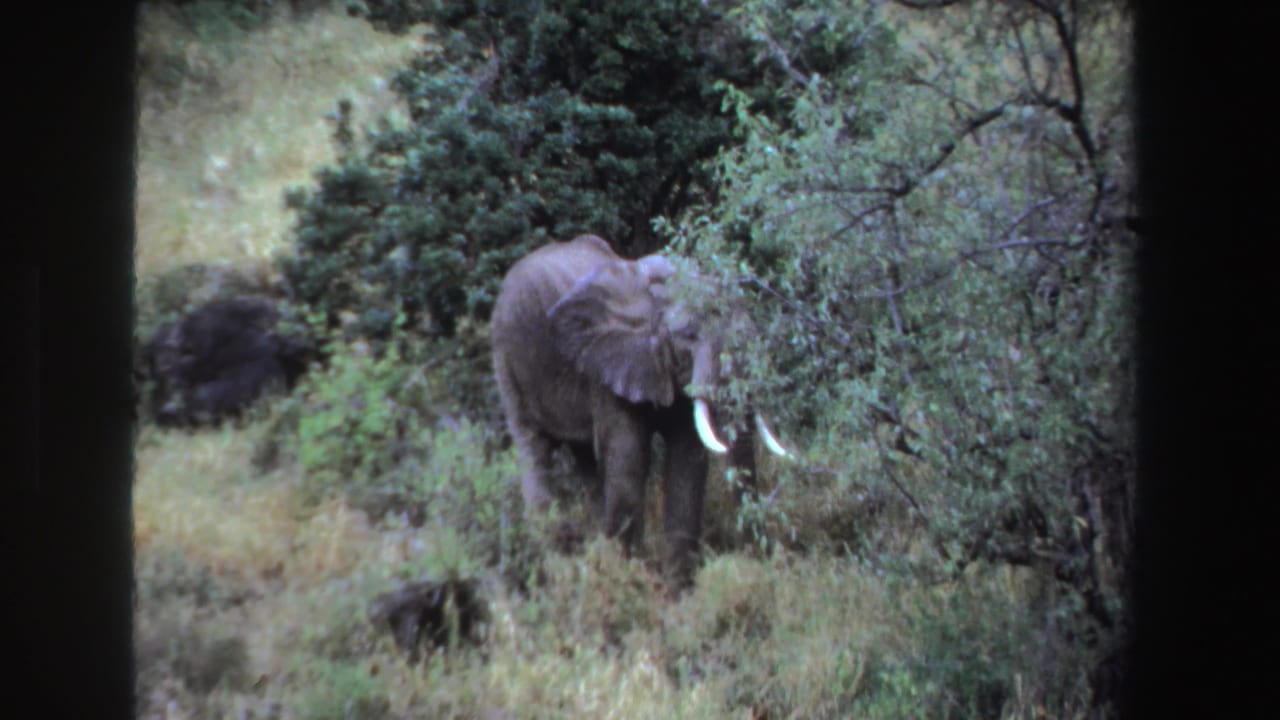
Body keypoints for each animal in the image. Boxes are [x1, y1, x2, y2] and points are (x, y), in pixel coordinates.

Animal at [491, 234, 789, 586]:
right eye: (689, 335)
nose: (765, 563)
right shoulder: (606, 366)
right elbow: (629, 457)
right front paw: (629, 579)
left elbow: (687, 461)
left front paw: (677, 590)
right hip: (507, 359)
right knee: (533, 450)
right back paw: (554, 563)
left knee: (586, 461)